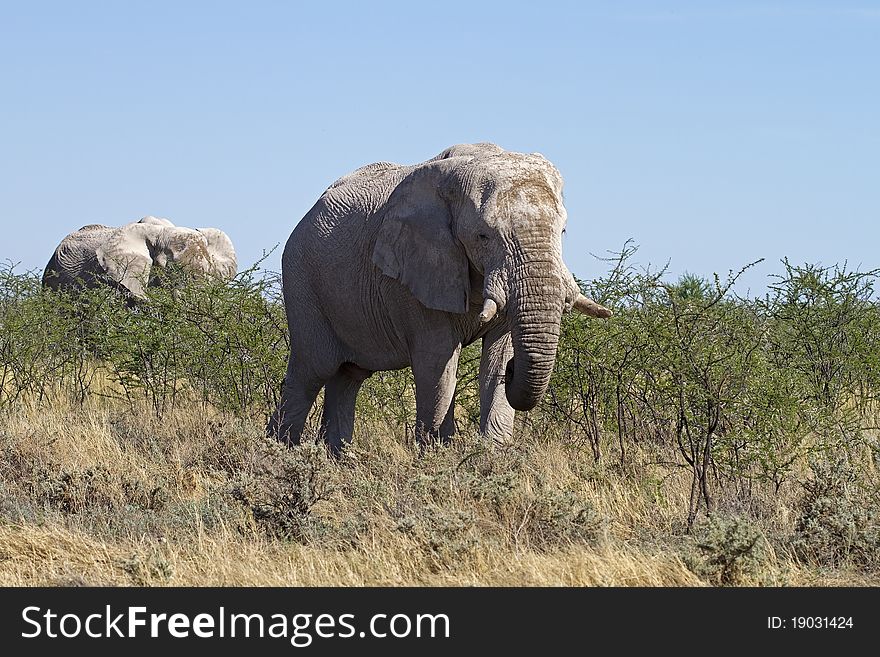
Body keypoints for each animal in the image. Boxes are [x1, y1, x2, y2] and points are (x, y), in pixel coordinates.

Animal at [268, 141, 612, 454]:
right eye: (483, 236)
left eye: (562, 231)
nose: (514, 372)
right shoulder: (416, 273)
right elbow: (438, 364)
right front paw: (437, 458)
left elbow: (498, 353)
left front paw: (491, 457)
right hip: (302, 280)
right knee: (311, 371)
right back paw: (279, 454)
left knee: (348, 377)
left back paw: (337, 460)